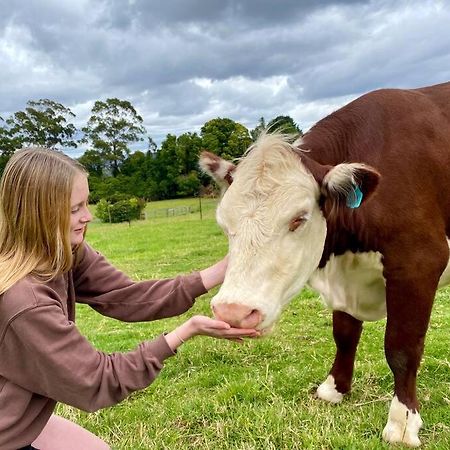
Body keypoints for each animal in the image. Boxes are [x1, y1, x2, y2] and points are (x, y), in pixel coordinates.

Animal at [200, 82, 450, 448]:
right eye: (223, 223)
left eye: (299, 218)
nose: (234, 312)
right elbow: (344, 334)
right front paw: (334, 388)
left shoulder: (419, 263)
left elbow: (402, 348)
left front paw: (403, 423)